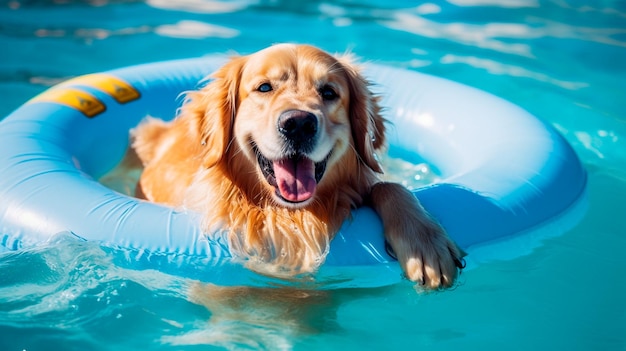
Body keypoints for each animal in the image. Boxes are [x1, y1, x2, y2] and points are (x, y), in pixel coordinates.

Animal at [132, 44, 464, 290]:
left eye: (329, 92)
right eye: (264, 88)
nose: (299, 124)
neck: (291, 214)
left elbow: (389, 186)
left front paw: (424, 243)